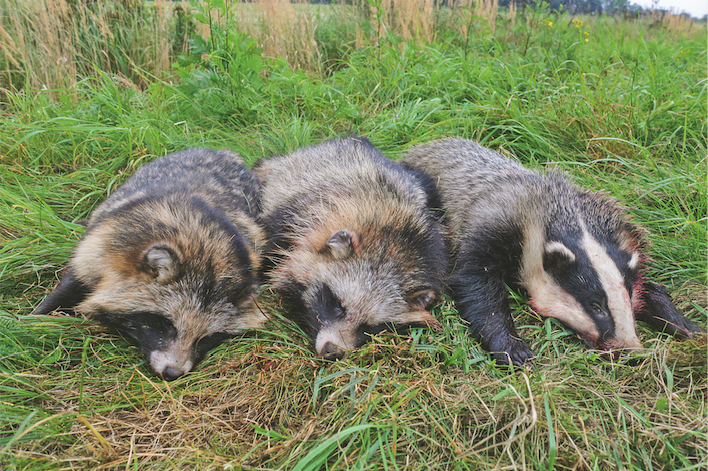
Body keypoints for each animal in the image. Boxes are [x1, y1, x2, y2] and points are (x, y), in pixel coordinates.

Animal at [31, 149, 266, 382]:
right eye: (167, 324)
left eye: (207, 337)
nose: (172, 373)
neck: (203, 245)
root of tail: (223, 152)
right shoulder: (103, 241)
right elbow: (73, 281)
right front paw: (31, 320)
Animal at [402, 138, 704, 366]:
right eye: (595, 306)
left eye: (627, 298)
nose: (628, 349)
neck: (556, 210)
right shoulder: (490, 225)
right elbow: (475, 282)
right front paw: (514, 349)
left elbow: (651, 289)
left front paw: (688, 326)